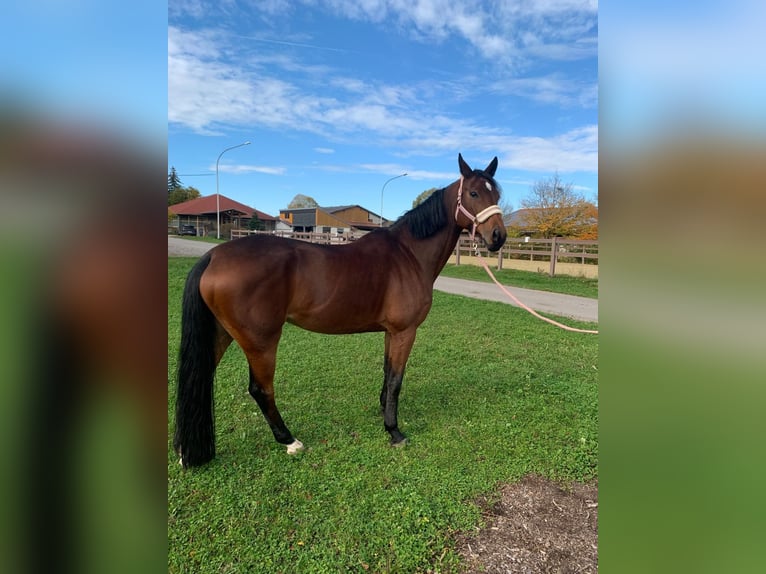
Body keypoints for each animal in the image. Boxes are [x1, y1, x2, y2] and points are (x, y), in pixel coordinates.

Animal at [174, 153, 507, 468]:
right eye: (474, 193)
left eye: (497, 194)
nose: (498, 237)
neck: (408, 255)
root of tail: (214, 256)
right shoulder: (405, 332)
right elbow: (397, 379)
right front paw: (394, 431)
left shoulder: (390, 332)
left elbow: (387, 373)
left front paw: (383, 414)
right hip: (261, 341)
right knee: (261, 389)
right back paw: (289, 440)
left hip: (221, 333)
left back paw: (183, 450)